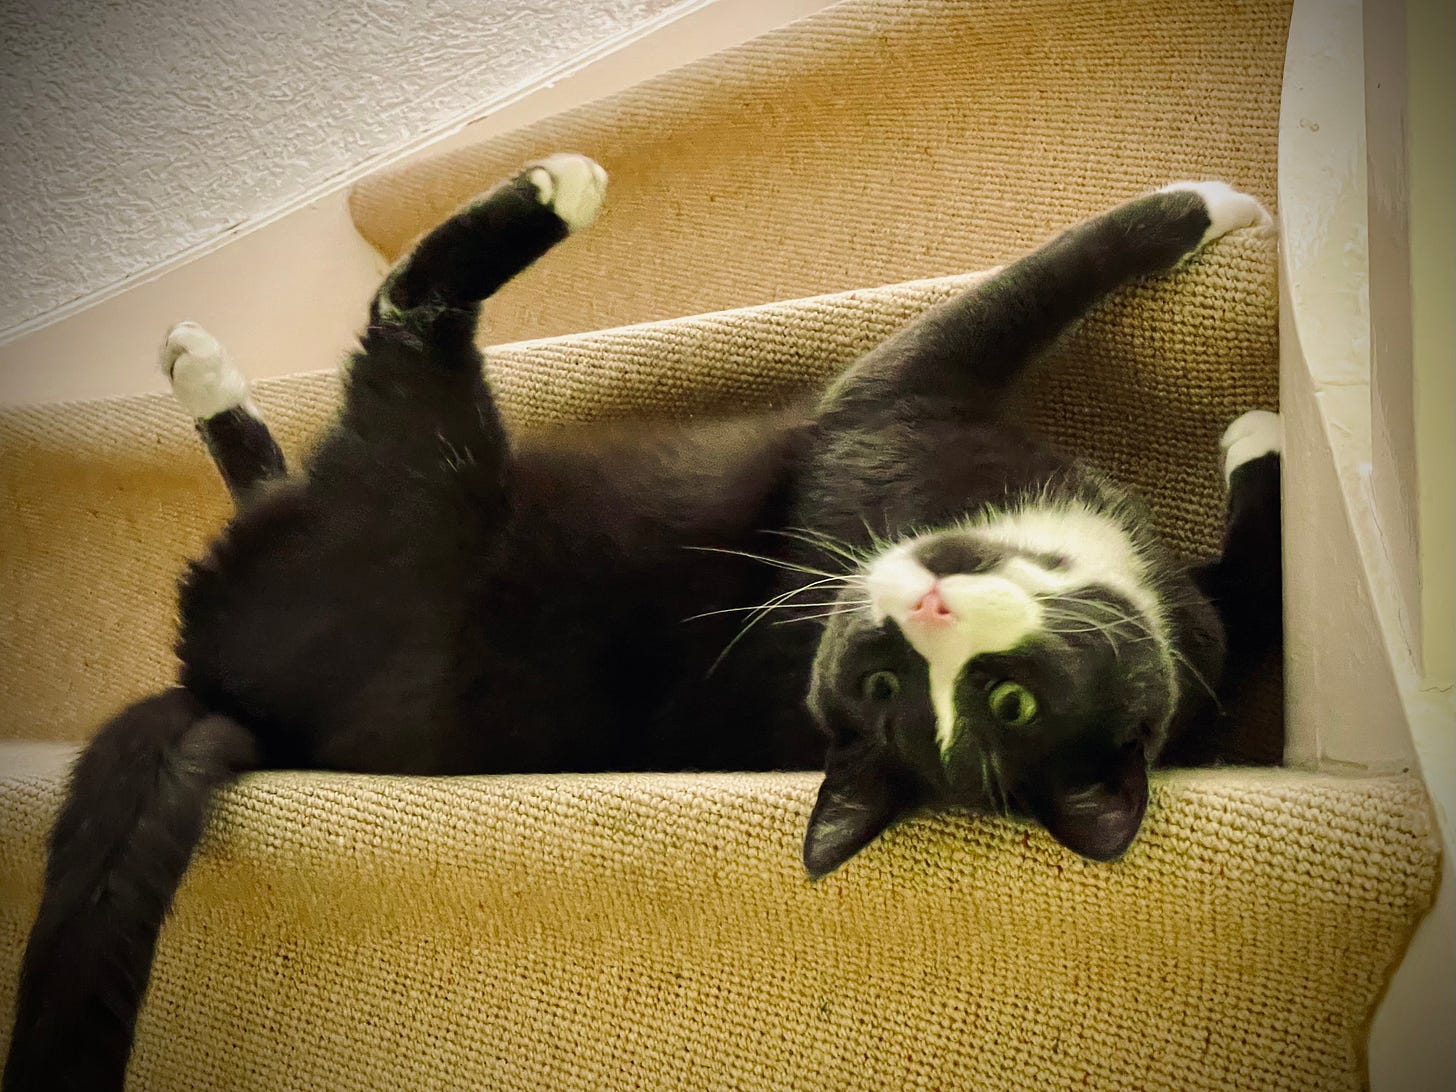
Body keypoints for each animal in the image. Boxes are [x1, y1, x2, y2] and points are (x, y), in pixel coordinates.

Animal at [0, 154, 1281, 1092]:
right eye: (886, 689)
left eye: (1002, 701)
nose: (912, 605)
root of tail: (214, 680)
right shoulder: (891, 404)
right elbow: (1041, 282)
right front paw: (1218, 212)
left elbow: (1243, 595)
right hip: (439, 473)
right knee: (405, 320)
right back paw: (537, 200)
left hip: (413, 487)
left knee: (346, 411)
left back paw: (214, 369)